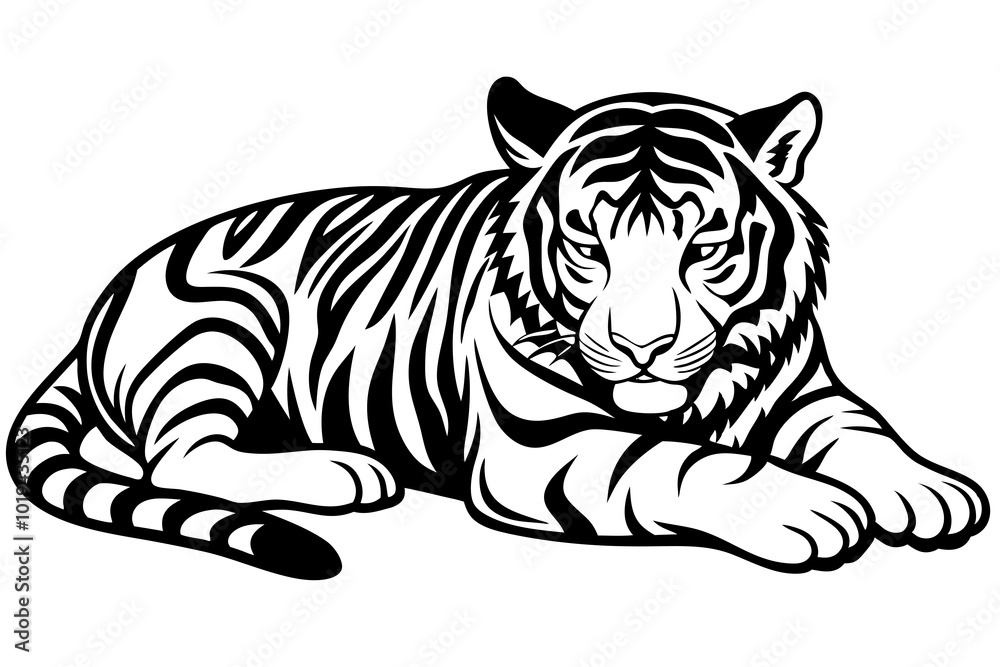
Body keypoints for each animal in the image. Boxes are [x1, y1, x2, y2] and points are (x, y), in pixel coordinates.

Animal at [7, 78, 989, 579]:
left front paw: (929, 487)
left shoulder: (800, 387)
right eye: (589, 241)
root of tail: (105, 298)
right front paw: (808, 507)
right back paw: (342, 472)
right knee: (182, 458)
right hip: (222, 317)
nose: (643, 348)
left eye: (703, 243)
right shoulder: (543, 446)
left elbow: (861, 431)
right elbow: (675, 461)